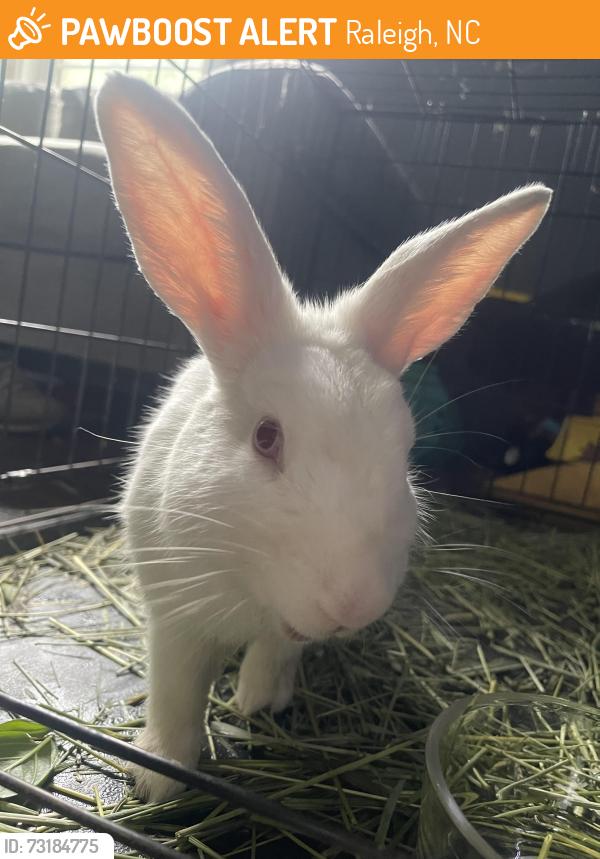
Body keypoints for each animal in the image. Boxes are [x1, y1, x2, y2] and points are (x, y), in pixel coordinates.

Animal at [94, 73, 552, 803]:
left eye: (404, 446)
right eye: (266, 437)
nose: (352, 602)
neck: (254, 592)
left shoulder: (287, 629)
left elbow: (280, 647)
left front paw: (259, 701)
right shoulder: (175, 613)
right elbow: (174, 692)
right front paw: (157, 776)